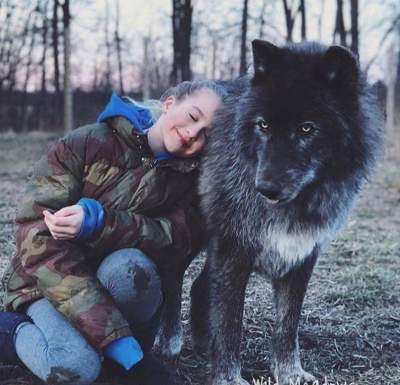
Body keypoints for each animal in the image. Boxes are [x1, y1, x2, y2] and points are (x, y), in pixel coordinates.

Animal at [189, 40, 382, 384]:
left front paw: (290, 373)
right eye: (263, 125)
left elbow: (287, 325)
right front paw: (228, 377)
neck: (289, 209)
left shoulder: (302, 256)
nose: (264, 188)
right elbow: (229, 324)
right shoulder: (231, 252)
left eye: (307, 129)